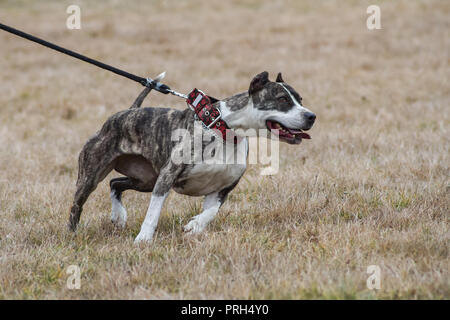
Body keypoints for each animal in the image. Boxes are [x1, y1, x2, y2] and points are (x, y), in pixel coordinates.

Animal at [69, 72, 316, 242]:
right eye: (282, 99)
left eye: (301, 100)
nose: (311, 116)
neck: (224, 130)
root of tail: (124, 114)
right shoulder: (167, 177)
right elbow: (153, 212)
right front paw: (143, 239)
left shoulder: (223, 188)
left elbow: (211, 212)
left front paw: (195, 226)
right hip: (93, 174)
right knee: (77, 204)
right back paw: (73, 234)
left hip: (145, 179)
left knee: (115, 183)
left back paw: (118, 216)